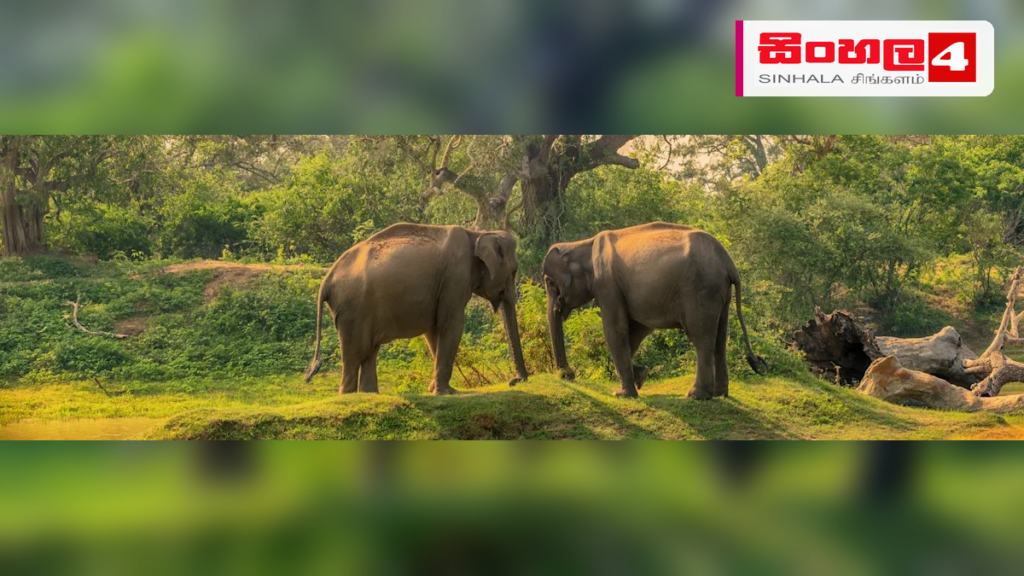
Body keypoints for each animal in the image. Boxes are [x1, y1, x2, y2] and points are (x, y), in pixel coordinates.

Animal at [304, 223, 528, 395]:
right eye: (514, 270)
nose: (514, 380)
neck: (477, 233)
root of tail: (326, 281)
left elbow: (434, 330)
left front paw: (434, 389)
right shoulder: (455, 277)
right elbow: (451, 325)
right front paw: (447, 392)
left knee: (369, 351)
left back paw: (370, 394)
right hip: (352, 309)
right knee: (354, 353)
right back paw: (350, 396)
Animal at [542, 222, 765, 399]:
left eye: (549, 282)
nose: (568, 374)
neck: (581, 244)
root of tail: (728, 262)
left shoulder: (607, 284)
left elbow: (615, 330)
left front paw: (622, 394)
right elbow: (637, 330)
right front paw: (640, 376)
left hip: (701, 290)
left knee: (702, 338)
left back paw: (696, 396)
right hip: (721, 293)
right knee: (720, 338)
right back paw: (720, 394)